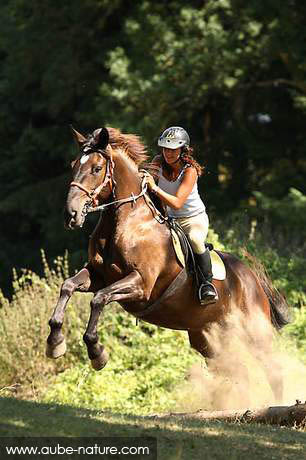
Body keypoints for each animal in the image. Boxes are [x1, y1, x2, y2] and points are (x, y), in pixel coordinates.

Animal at [46, 126, 290, 402]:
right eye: (74, 165)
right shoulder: (98, 275)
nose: (71, 215)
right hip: (208, 338)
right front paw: (55, 343)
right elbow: (68, 286)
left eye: (97, 168)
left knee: (273, 368)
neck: (128, 222)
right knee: (233, 369)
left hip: (254, 331)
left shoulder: (140, 284)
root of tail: (252, 279)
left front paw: (97, 353)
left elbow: (98, 299)